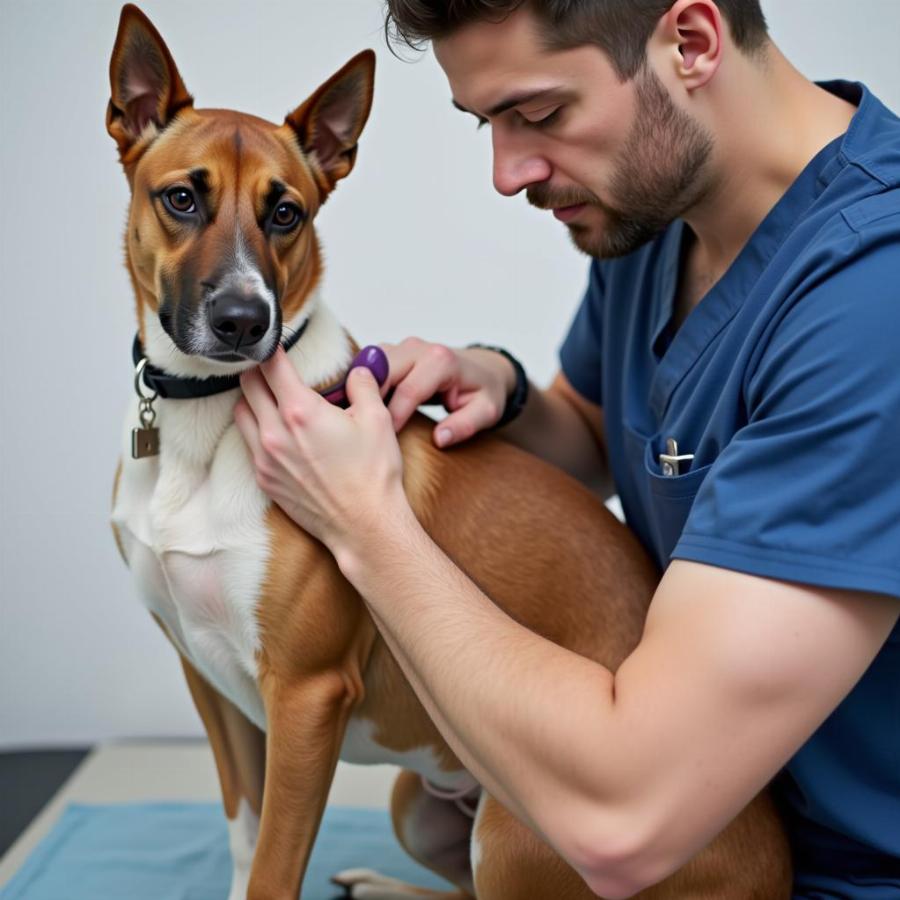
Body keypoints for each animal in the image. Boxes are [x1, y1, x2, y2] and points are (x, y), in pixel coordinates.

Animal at [109, 7, 792, 900]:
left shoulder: (305, 697)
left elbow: (271, 871)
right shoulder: (212, 686)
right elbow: (242, 836)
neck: (206, 418)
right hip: (418, 802)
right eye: (183, 198)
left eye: (286, 213)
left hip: (507, 831)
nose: (242, 320)